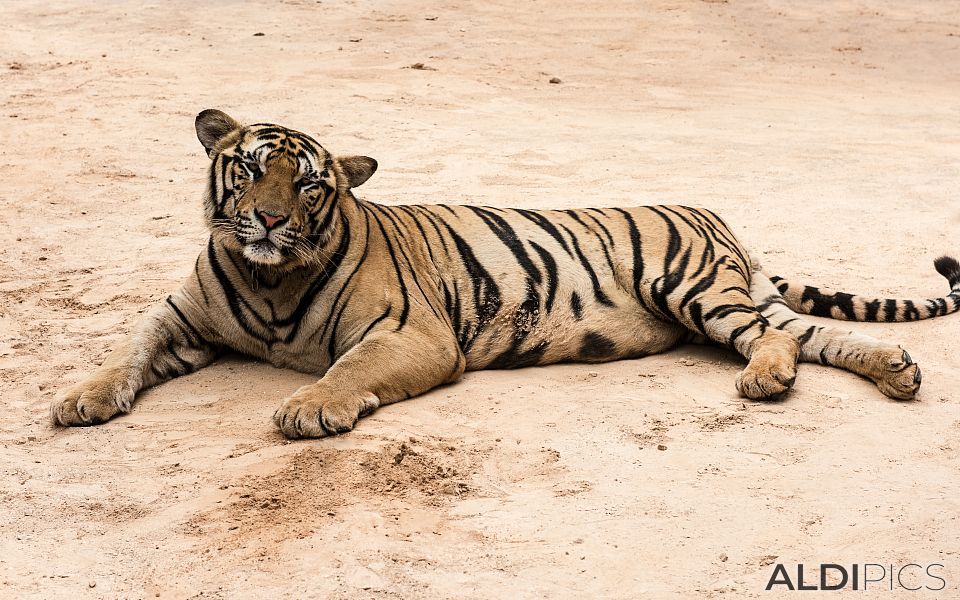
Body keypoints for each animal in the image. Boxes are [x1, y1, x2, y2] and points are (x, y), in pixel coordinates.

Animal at [52, 109, 960, 436]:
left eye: (308, 184)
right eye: (249, 168)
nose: (270, 221)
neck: (268, 278)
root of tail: (719, 219)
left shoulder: (409, 333)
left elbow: (346, 369)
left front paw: (309, 409)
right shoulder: (179, 316)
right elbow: (126, 348)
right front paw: (80, 398)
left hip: (693, 287)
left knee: (785, 339)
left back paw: (780, 381)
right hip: (723, 298)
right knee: (811, 337)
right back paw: (884, 373)